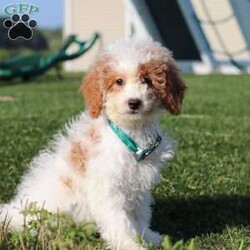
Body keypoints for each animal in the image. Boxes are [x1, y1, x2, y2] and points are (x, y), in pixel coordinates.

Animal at [0, 37, 186, 250]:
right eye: (119, 81)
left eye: (147, 80)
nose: (134, 102)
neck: (130, 130)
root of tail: (13, 211)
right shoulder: (108, 188)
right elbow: (119, 220)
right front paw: (129, 244)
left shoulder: (138, 186)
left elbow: (140, 215)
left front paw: (148, 237)